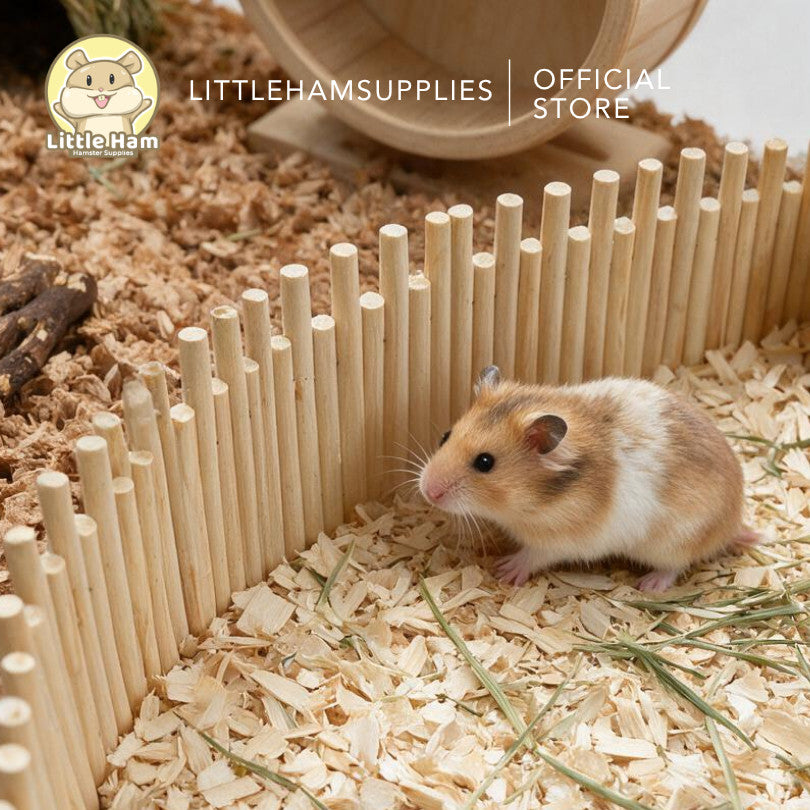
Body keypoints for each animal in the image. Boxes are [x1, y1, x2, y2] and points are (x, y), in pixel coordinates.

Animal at [419, 366, 756, 591]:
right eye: (445, 436)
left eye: (485, 463)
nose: (427, 491)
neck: (540, 497)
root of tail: (732, 523)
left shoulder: (561, 541)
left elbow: (533, 555)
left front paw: (504, 570)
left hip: (675, 541)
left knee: (675, 567)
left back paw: (649, 584)